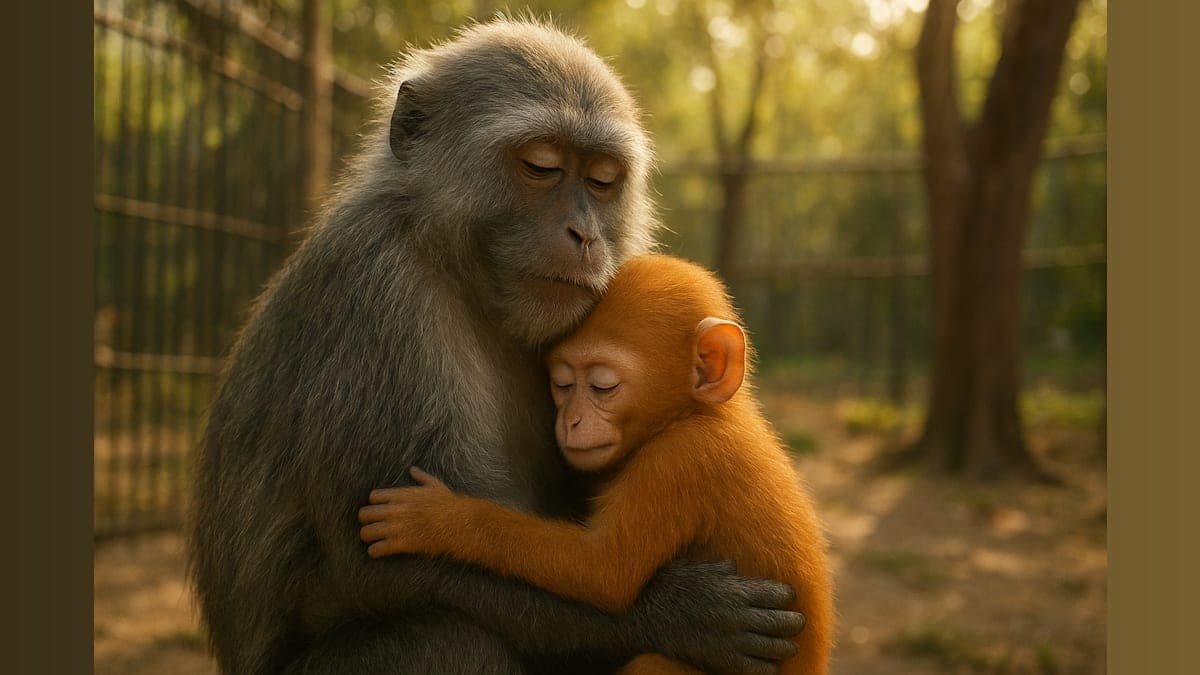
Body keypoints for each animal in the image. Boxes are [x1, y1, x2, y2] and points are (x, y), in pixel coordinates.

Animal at [359, 254, 835, 675]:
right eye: (562, 384)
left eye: (603, 386)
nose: (569, 421)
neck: (694, 415)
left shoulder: (681, 460)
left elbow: (604, 571)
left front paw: (438, 518)